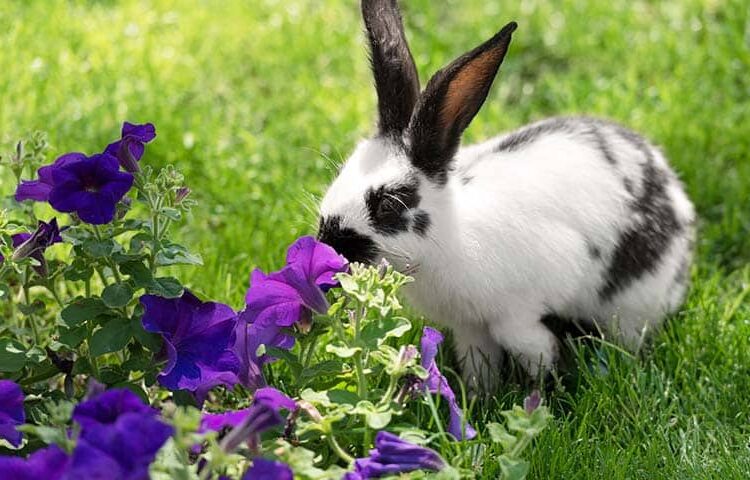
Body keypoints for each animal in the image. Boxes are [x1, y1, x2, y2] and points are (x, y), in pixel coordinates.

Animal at [314, 0, 696, 388]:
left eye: (389, 204)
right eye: (341, 174)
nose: (329, 241)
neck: (451, 236)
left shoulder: (518, 311)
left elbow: (532, 349)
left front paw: (543, 392)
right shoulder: (469, 327)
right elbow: (478, 362)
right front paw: (478, 396)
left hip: (632, 302)